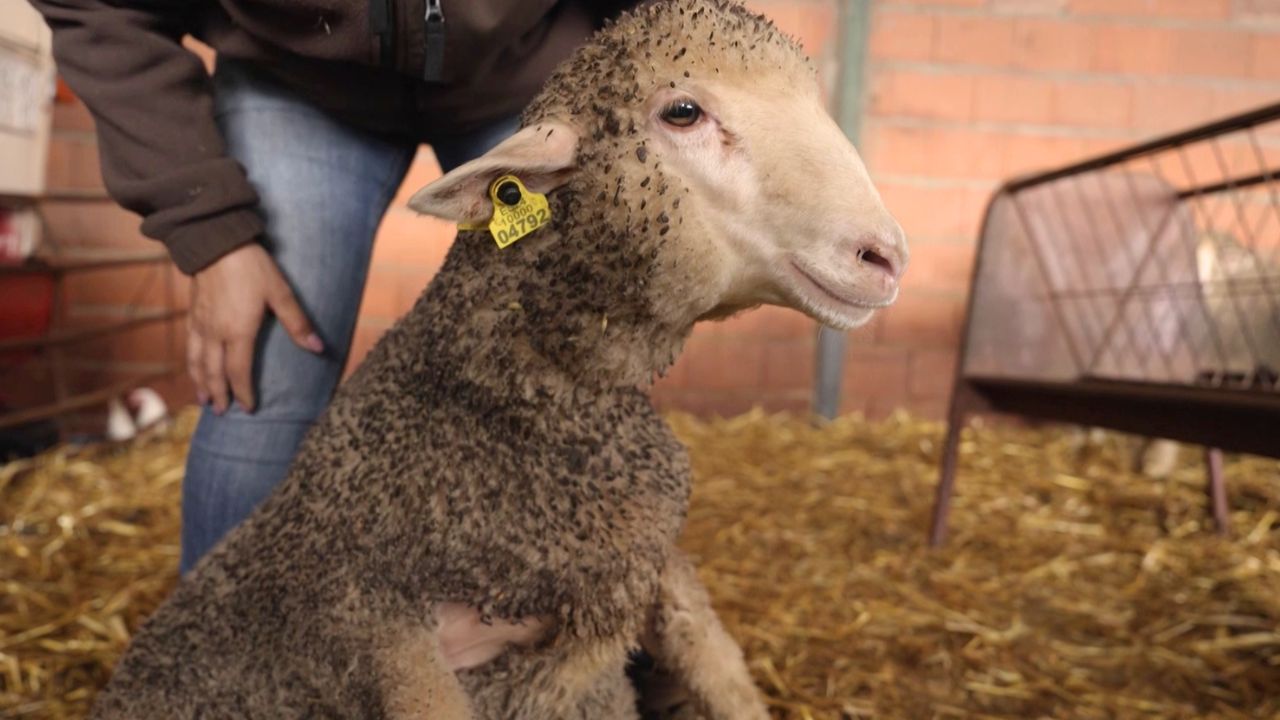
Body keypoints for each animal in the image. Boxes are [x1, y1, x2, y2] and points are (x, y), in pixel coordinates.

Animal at [88, 1, 907, 718]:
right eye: (682, 112)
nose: (887, 254)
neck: (519, 409)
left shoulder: (638, 587)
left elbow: (722, 671)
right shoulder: (367, 612)